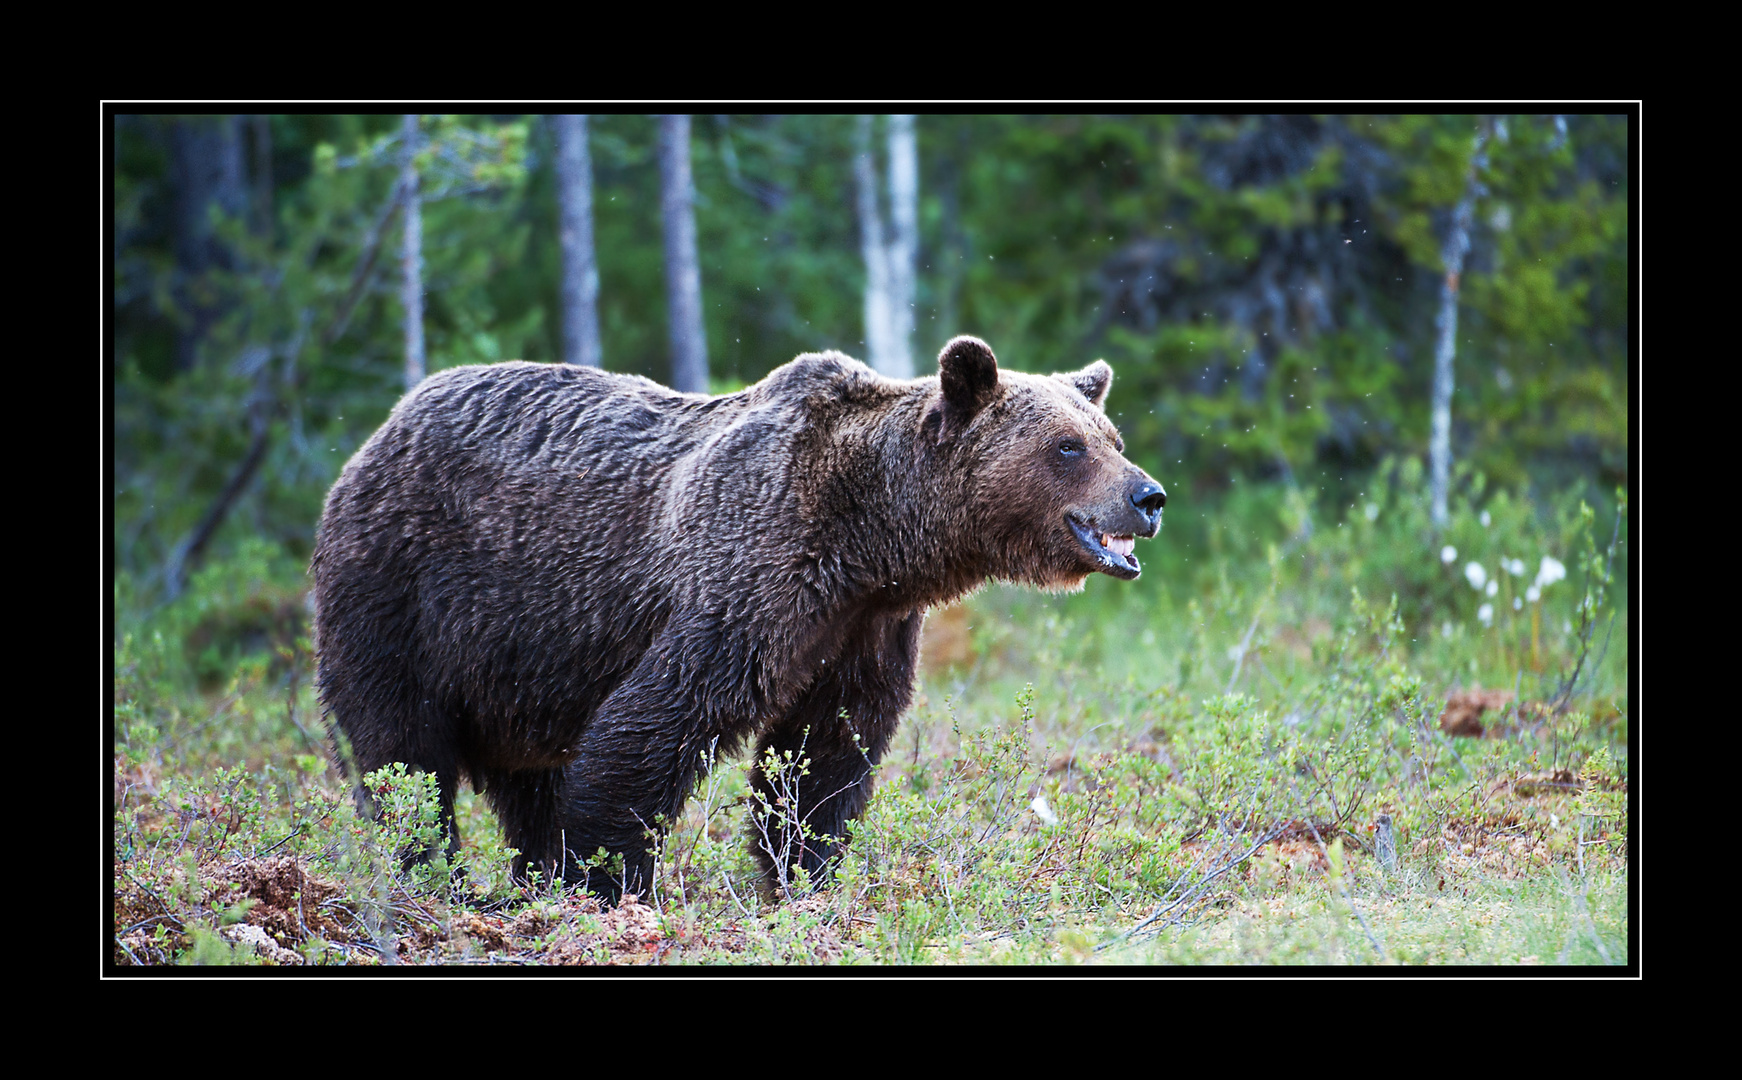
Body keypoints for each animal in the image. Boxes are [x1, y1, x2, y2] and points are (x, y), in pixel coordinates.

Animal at [311, 337, 1163, 905]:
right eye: (1066, 446)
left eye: (1112, 437)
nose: (1148, 496)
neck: (872, 538)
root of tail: (380, 431)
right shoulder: (752, 574)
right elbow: (655, 722)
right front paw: (610, 881)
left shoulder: (861, 627)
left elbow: (826, 753)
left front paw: (804, 874)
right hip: (403, 589)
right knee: (402, 749)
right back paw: (440, 874)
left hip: (523, 661)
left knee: (527, 776)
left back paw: (528, 873)